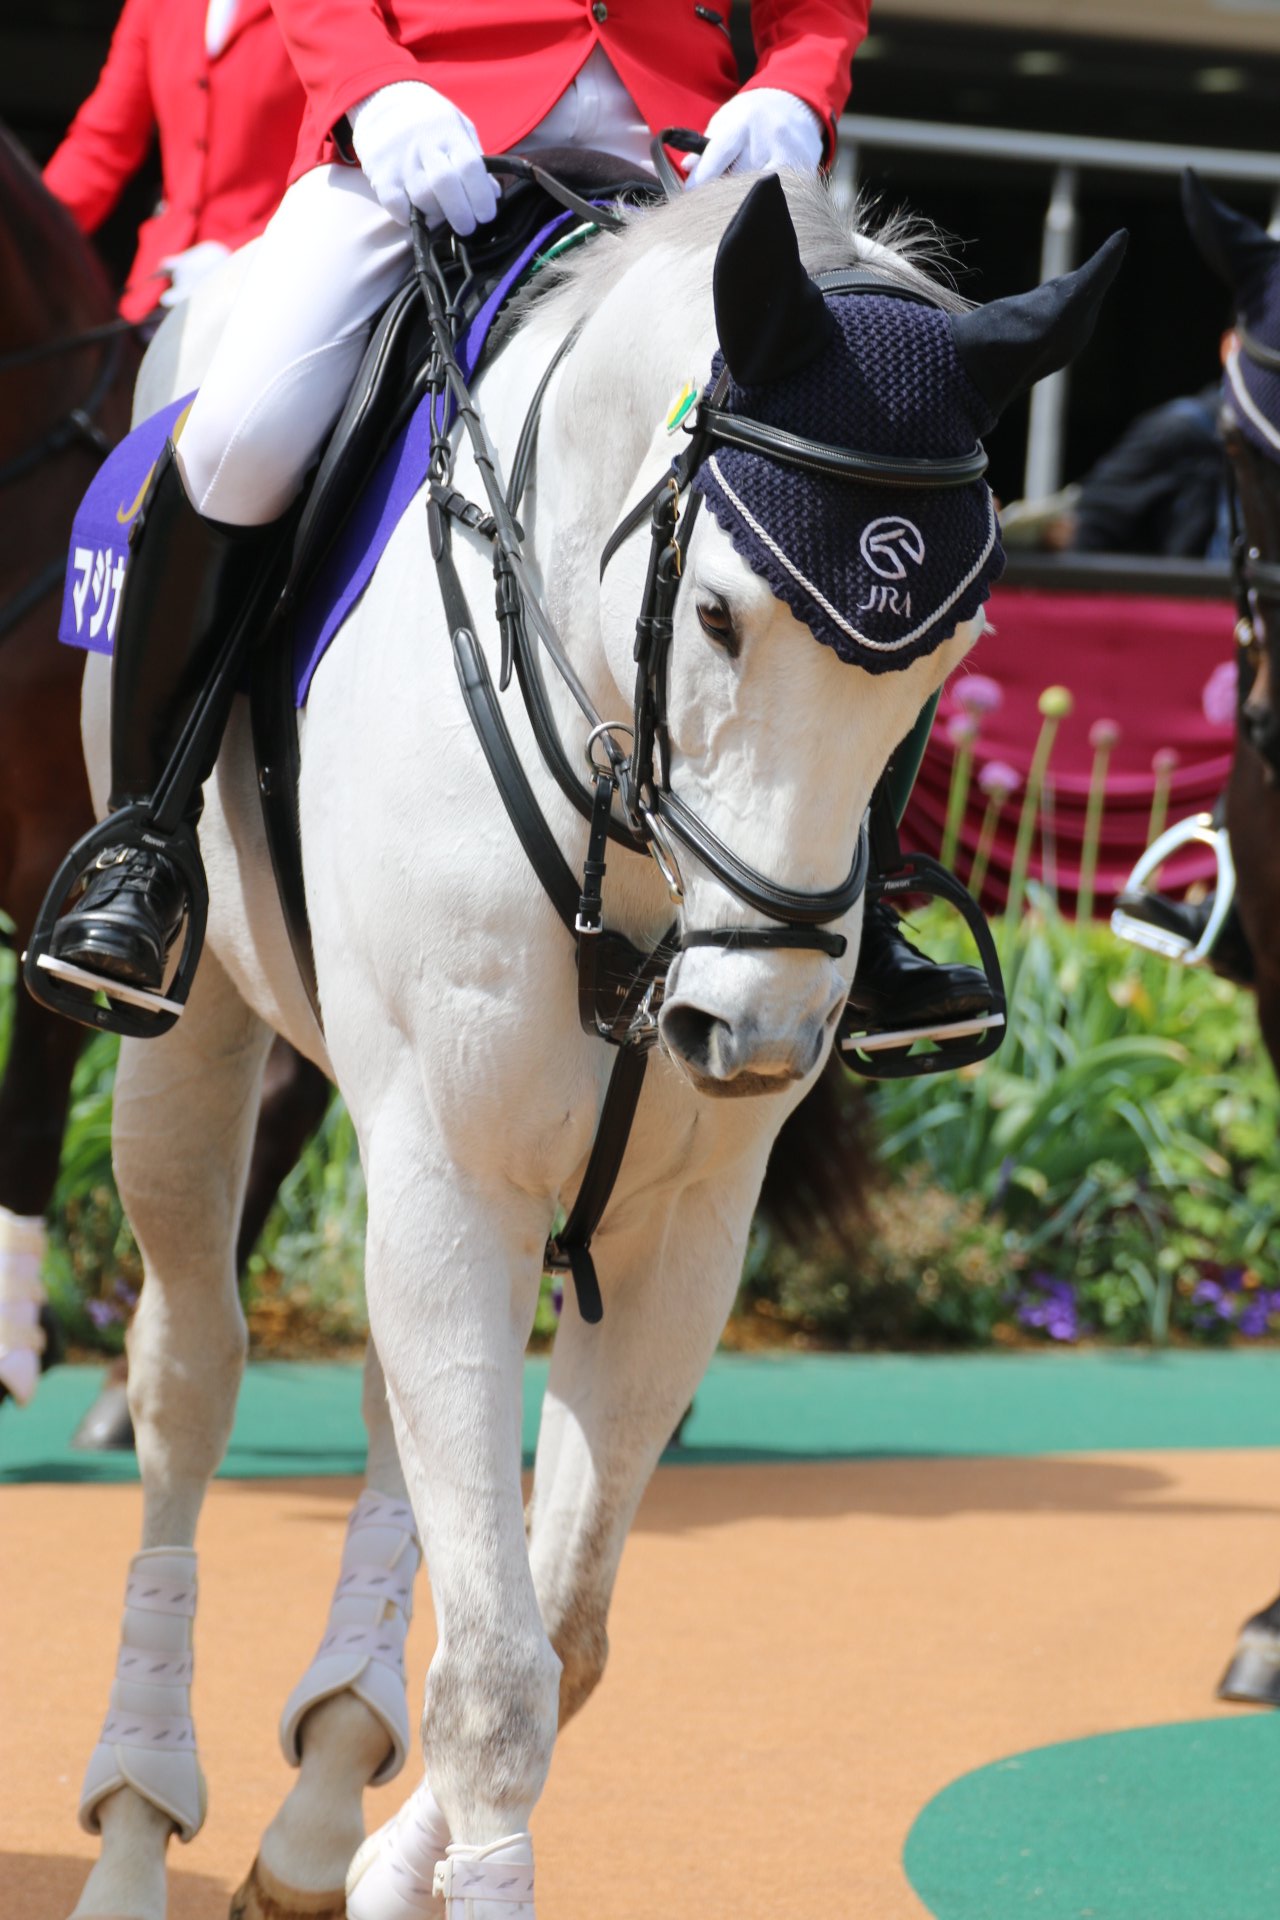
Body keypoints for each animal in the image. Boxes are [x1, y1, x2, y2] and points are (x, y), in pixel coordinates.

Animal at [58, 166, 1118, 1919]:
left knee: (386, 1422)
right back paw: (140, 1815)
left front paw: (387, 1854)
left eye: (951, 652)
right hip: (191, 1039)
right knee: (189, 1375)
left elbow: (558, 1632)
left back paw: (320, 1802)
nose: (753, 1027)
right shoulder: (452, 1177)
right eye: (721, 616)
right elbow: (498, 1674)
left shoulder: (673, 1231)